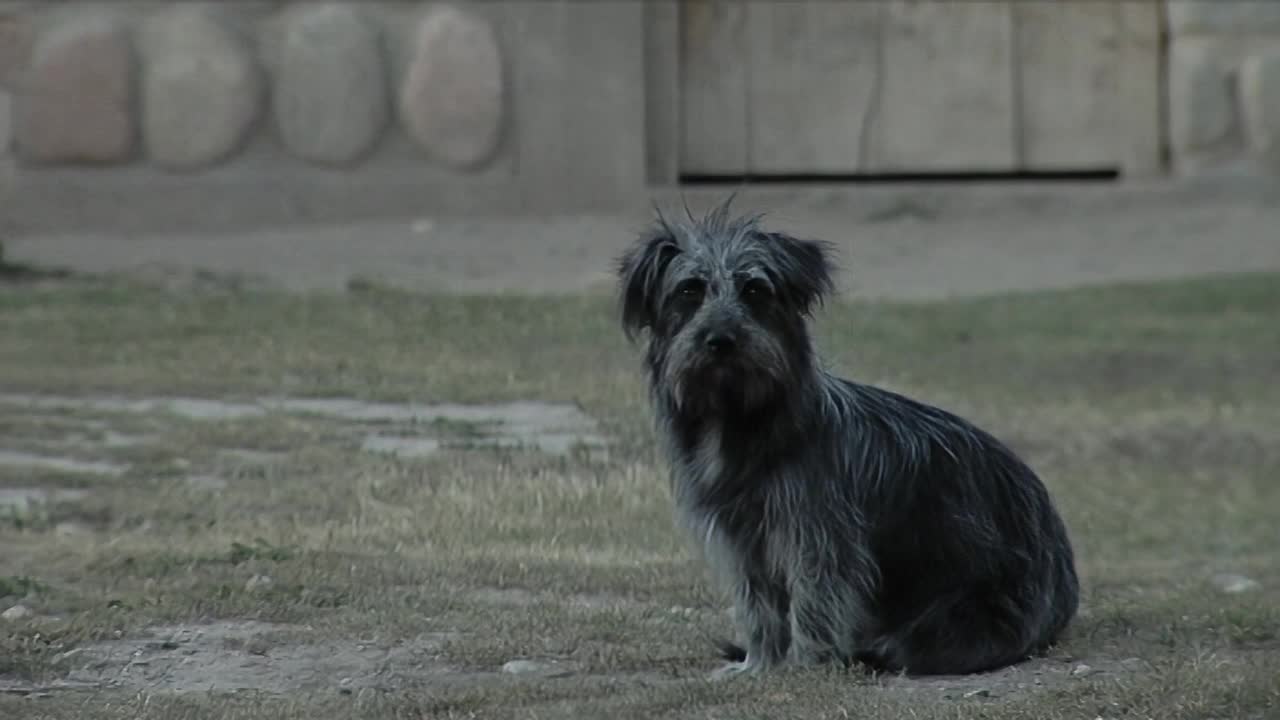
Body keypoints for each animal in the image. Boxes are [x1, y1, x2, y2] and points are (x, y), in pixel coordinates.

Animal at [614, 198, 1075, 676]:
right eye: (689, 290)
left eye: (755, 290)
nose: (721, 340)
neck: (740, 417)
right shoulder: (744, 541)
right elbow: (759, 606)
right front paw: (760, 666)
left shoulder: (817, 534)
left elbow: (814, 600)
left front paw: (805, 665)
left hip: (959, 618)